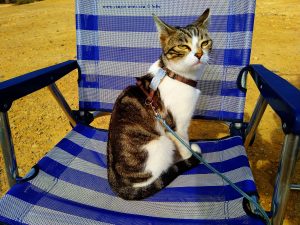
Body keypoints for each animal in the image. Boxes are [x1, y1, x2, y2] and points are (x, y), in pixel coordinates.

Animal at [106, 7, 212, 200]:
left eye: (205, 43)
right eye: (183, 46)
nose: (199, 54)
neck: (175, 75)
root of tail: (118, 184)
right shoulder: (176, 127)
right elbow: (185, 147)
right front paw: (189, 157)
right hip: (162, 144)